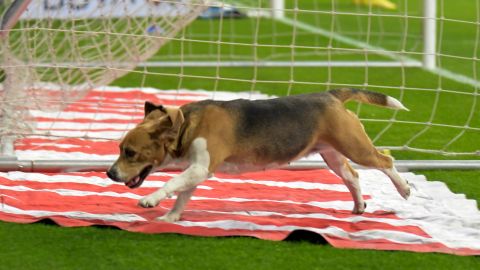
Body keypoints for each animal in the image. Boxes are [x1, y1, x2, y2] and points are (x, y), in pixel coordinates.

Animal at [107, 88, 410, 221]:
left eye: (130, 153)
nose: (109, 173)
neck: (186, 125)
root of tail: (331, 95)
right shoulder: (196, 169)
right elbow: (183, 194)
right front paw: (171, 219)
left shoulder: (200, 168)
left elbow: (172, 183)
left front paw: (151, 200)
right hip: (332, 154)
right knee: (352, 176)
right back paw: (359, 206)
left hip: (355, 147)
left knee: (386, 160)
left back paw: (404, 188)